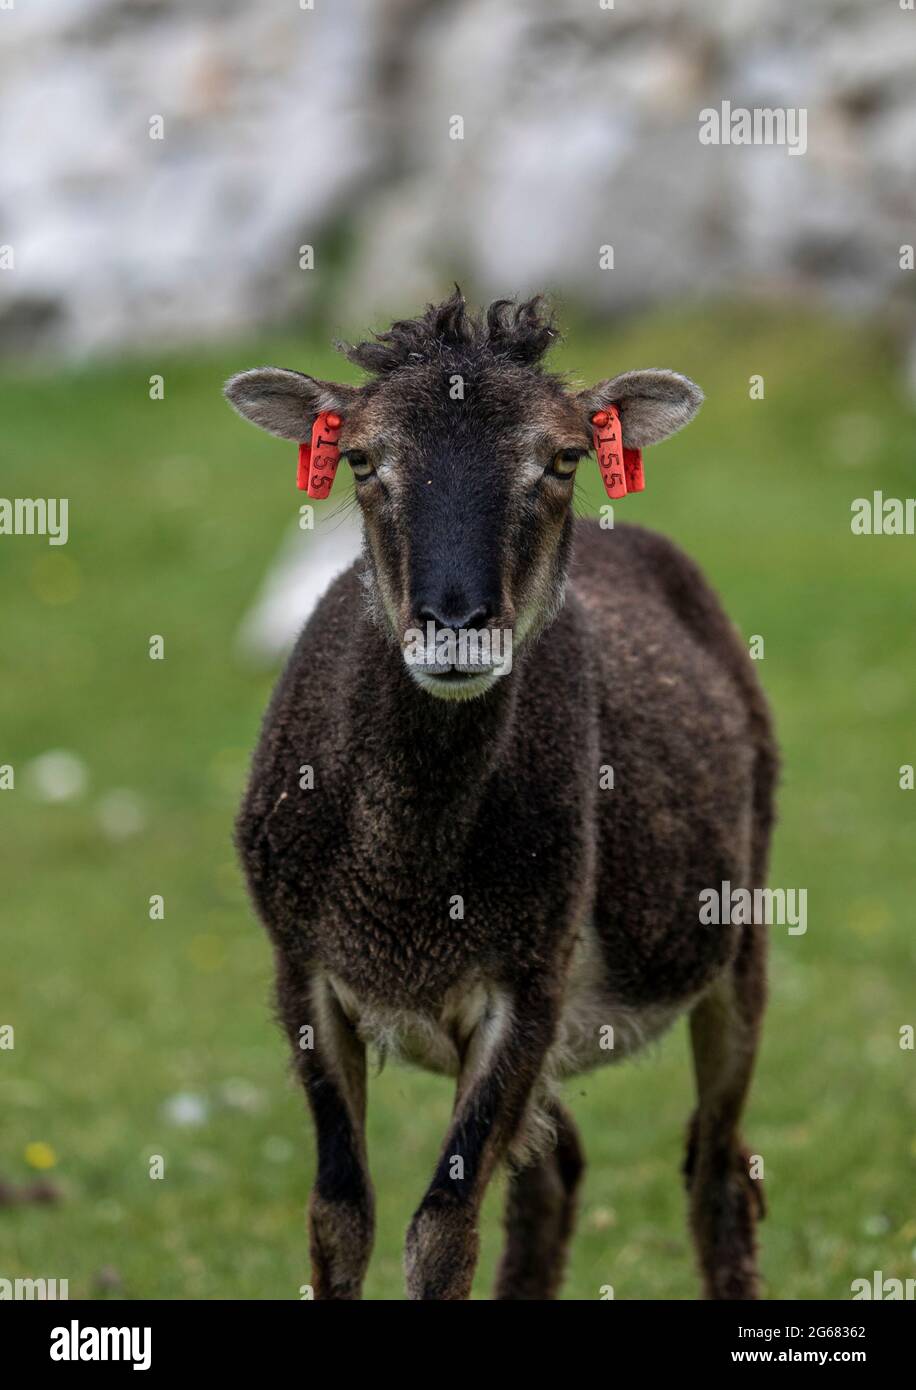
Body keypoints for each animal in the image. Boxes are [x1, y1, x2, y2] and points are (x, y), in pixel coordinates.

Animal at [224, 291, 777, 1301]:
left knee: (717, 1173)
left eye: (563, 459)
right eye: (361, 459)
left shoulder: (530, 981)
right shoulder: (303, 972)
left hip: (739, 932)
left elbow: (442, 1230)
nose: (457, 626)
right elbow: (339, 1216)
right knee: (555, 1173)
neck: (407, 888)